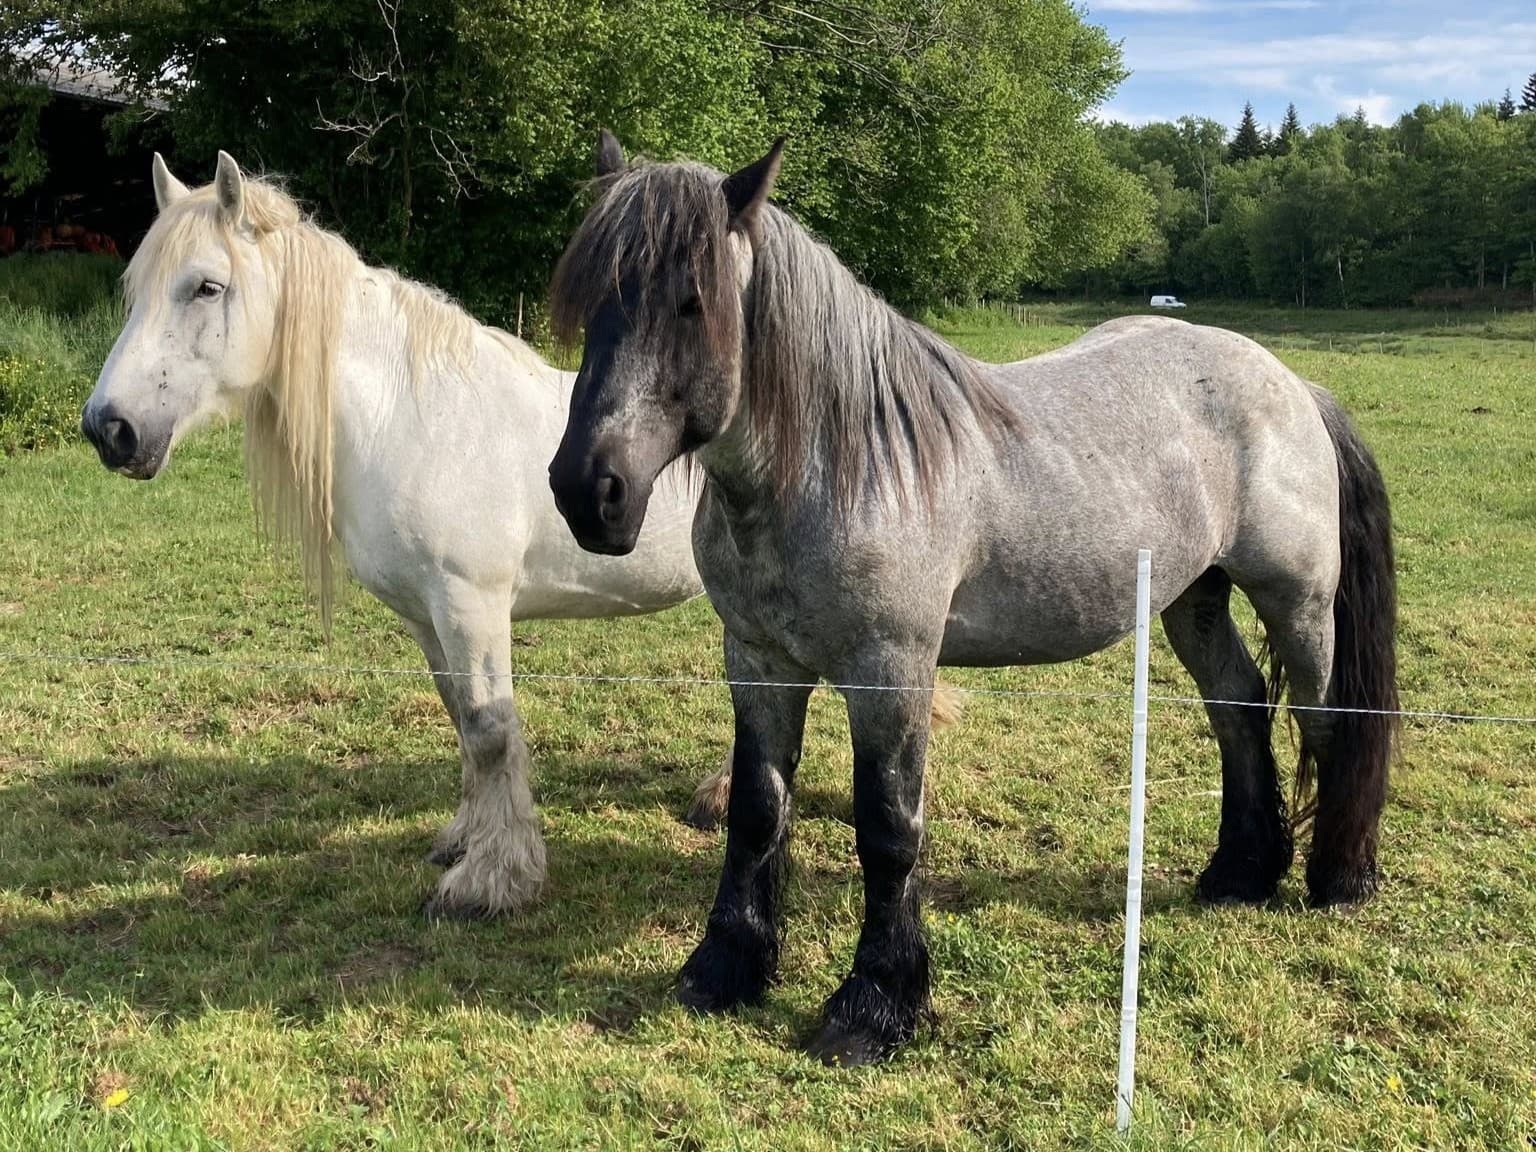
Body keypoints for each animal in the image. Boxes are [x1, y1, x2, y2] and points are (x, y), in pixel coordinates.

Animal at [80, 151, 725, 919]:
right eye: (135, 290)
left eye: (207, 286)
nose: (109, 428)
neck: (413, 416)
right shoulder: (426, 616)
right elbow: (462, 722)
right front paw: (463, 842)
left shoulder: (471, 605)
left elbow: (490, 730)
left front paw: (493, 882)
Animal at [546, 133, 1399, 1066]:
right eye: (590, 301)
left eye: (691, 303)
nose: (589, 491)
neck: (841, 464)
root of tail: (1292, 383)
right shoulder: (759, 661)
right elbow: (757, 812)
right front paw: (726, 967)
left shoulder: (890, 671)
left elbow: (888, 829)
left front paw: (875, 1006)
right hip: (1192, 599)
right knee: (1239, 709)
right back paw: (1241, 872)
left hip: (1298, 600)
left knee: (1326, 719)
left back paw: (1340, 878)